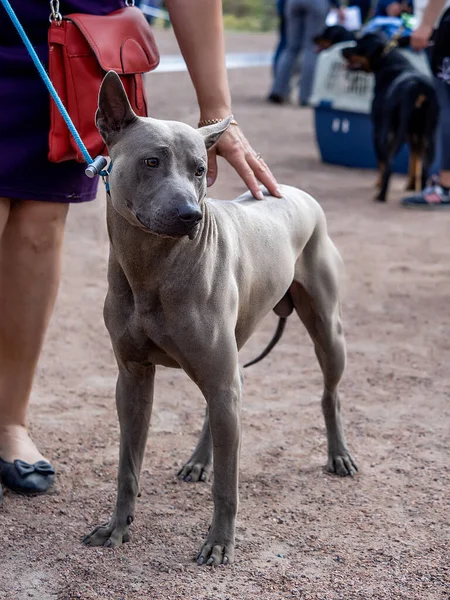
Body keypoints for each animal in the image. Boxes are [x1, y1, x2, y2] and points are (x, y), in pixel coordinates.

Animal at [82, 71, 358, 568]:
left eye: (198, 169)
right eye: (151, 161)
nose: (190, 214)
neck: (152, 268)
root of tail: (293, 192)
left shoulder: (219, 374)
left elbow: (228, 486)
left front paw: (219, 543)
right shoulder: (132, 378)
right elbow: (127, 467)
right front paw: (117, 527)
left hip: (327, 330)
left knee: (329, 394)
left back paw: (339, 455)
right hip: (231, 352)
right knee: (219, 406)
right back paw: (199, 461)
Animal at [342, 31, 438, 202]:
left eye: (359, 45)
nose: (343, 50)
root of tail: (419, 87)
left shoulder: (378, 130)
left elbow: (381, 162)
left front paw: (378, 184)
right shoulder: (414, 134)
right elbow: (414, 159)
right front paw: (411, 186)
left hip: (389, 133)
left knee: (388, 163)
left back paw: (381, 195)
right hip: (429, 134)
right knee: (426, 166)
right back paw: (422, 193)